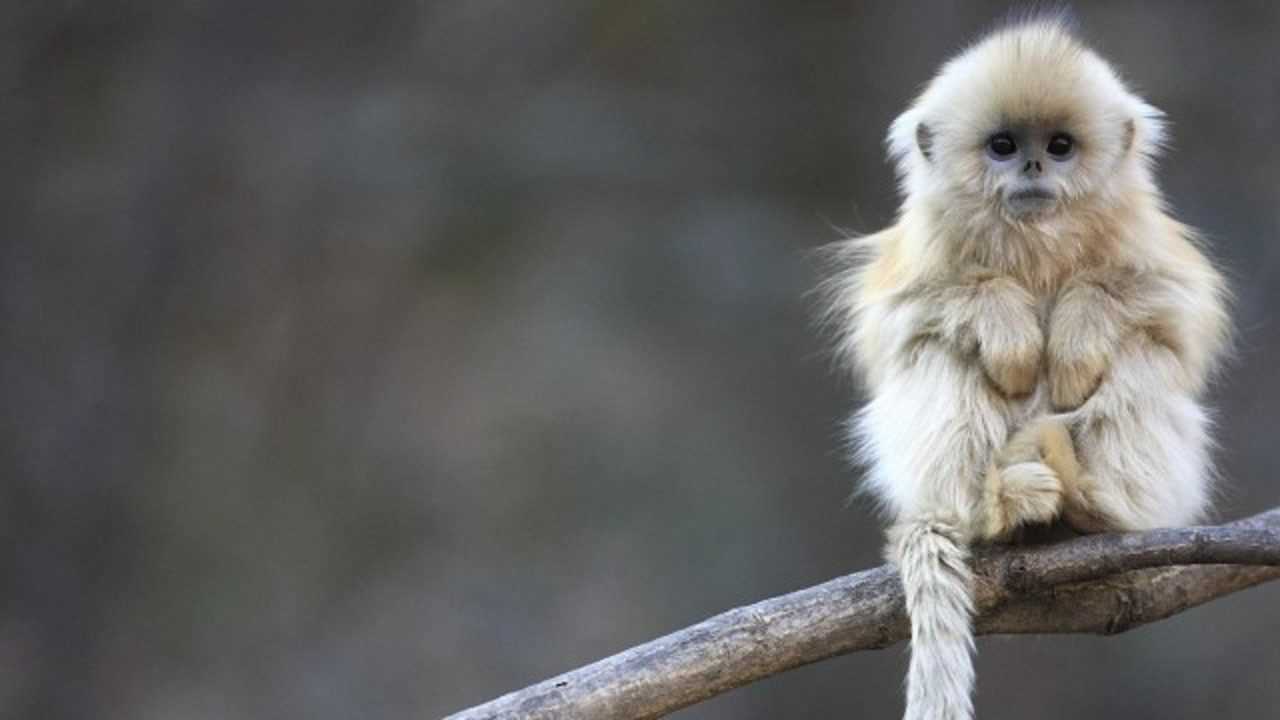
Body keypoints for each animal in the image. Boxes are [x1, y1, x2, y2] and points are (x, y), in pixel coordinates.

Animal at [819, 16, 1228, 717]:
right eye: (1004, 145)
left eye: (1060, 146)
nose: (1034, 164)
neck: (1035, 240)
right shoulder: (920, 252)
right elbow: (901, 321)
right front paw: (1008, 329)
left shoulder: (1146, 241)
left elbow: (1174, 311)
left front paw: (1074, 336)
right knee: (938, 350)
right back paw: (997, 508)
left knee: (1142, 350)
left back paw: (1094, 506)